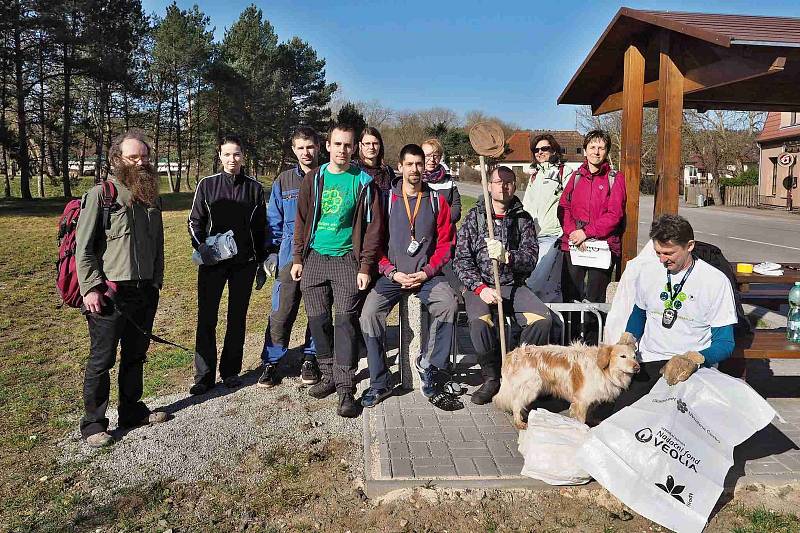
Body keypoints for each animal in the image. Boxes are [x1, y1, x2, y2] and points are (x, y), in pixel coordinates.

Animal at [490, 332, 640, 428]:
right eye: (622, 356)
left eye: (634, 356)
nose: (637, 367)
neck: (603, 369)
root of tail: (514, 353)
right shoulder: (581, 400)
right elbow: (581, 419)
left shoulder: (592, 398)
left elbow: (590, 412)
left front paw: (592, 421)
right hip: (530, 388)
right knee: (516, 403)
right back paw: (519, 421)